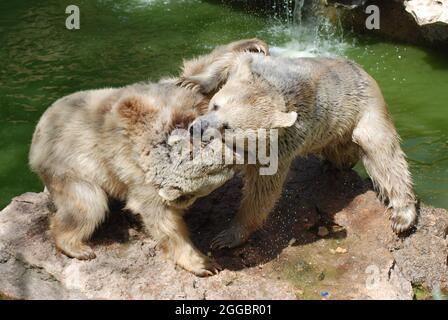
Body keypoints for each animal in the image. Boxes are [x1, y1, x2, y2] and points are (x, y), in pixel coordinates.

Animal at [29, 39, 268, 276]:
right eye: (216, 167)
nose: (239, 157)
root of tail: (36, 137)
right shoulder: (139, 177)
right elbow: (161, 219)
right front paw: (204, 263)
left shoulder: (173, 102)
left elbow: (197, 72)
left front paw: (255, 45)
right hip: (69, 166)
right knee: (87, 203)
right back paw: (77, 247)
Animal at [181, 52, 416, 250]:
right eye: (215, 106)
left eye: (227, 127)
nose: (196, 128)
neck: (279, 91)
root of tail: (364, 71)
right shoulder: (262, 67)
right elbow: (233, 58)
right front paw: (192, 81)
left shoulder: (280, 146)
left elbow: (262, 191)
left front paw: (225, 238)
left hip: (365, 109)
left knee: (382, 152)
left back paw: (402, 216)